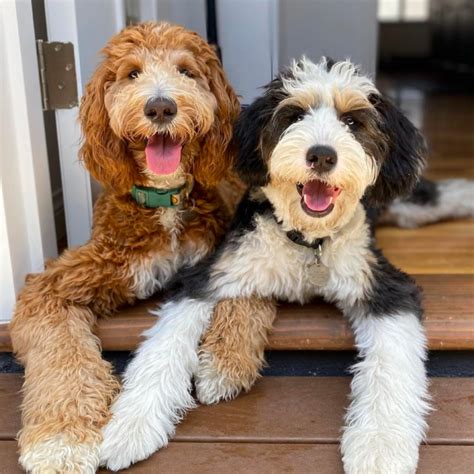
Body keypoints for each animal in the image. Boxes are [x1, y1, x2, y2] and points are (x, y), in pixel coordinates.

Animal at [101, 57, 474, 472]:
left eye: (353, 122)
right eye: (294, 115)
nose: (322, 156)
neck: (309, 240)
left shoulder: (383, 285)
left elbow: (391, 362)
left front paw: (380, 445)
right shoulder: (210, 271)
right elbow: (163, 345)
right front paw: (132, 424)